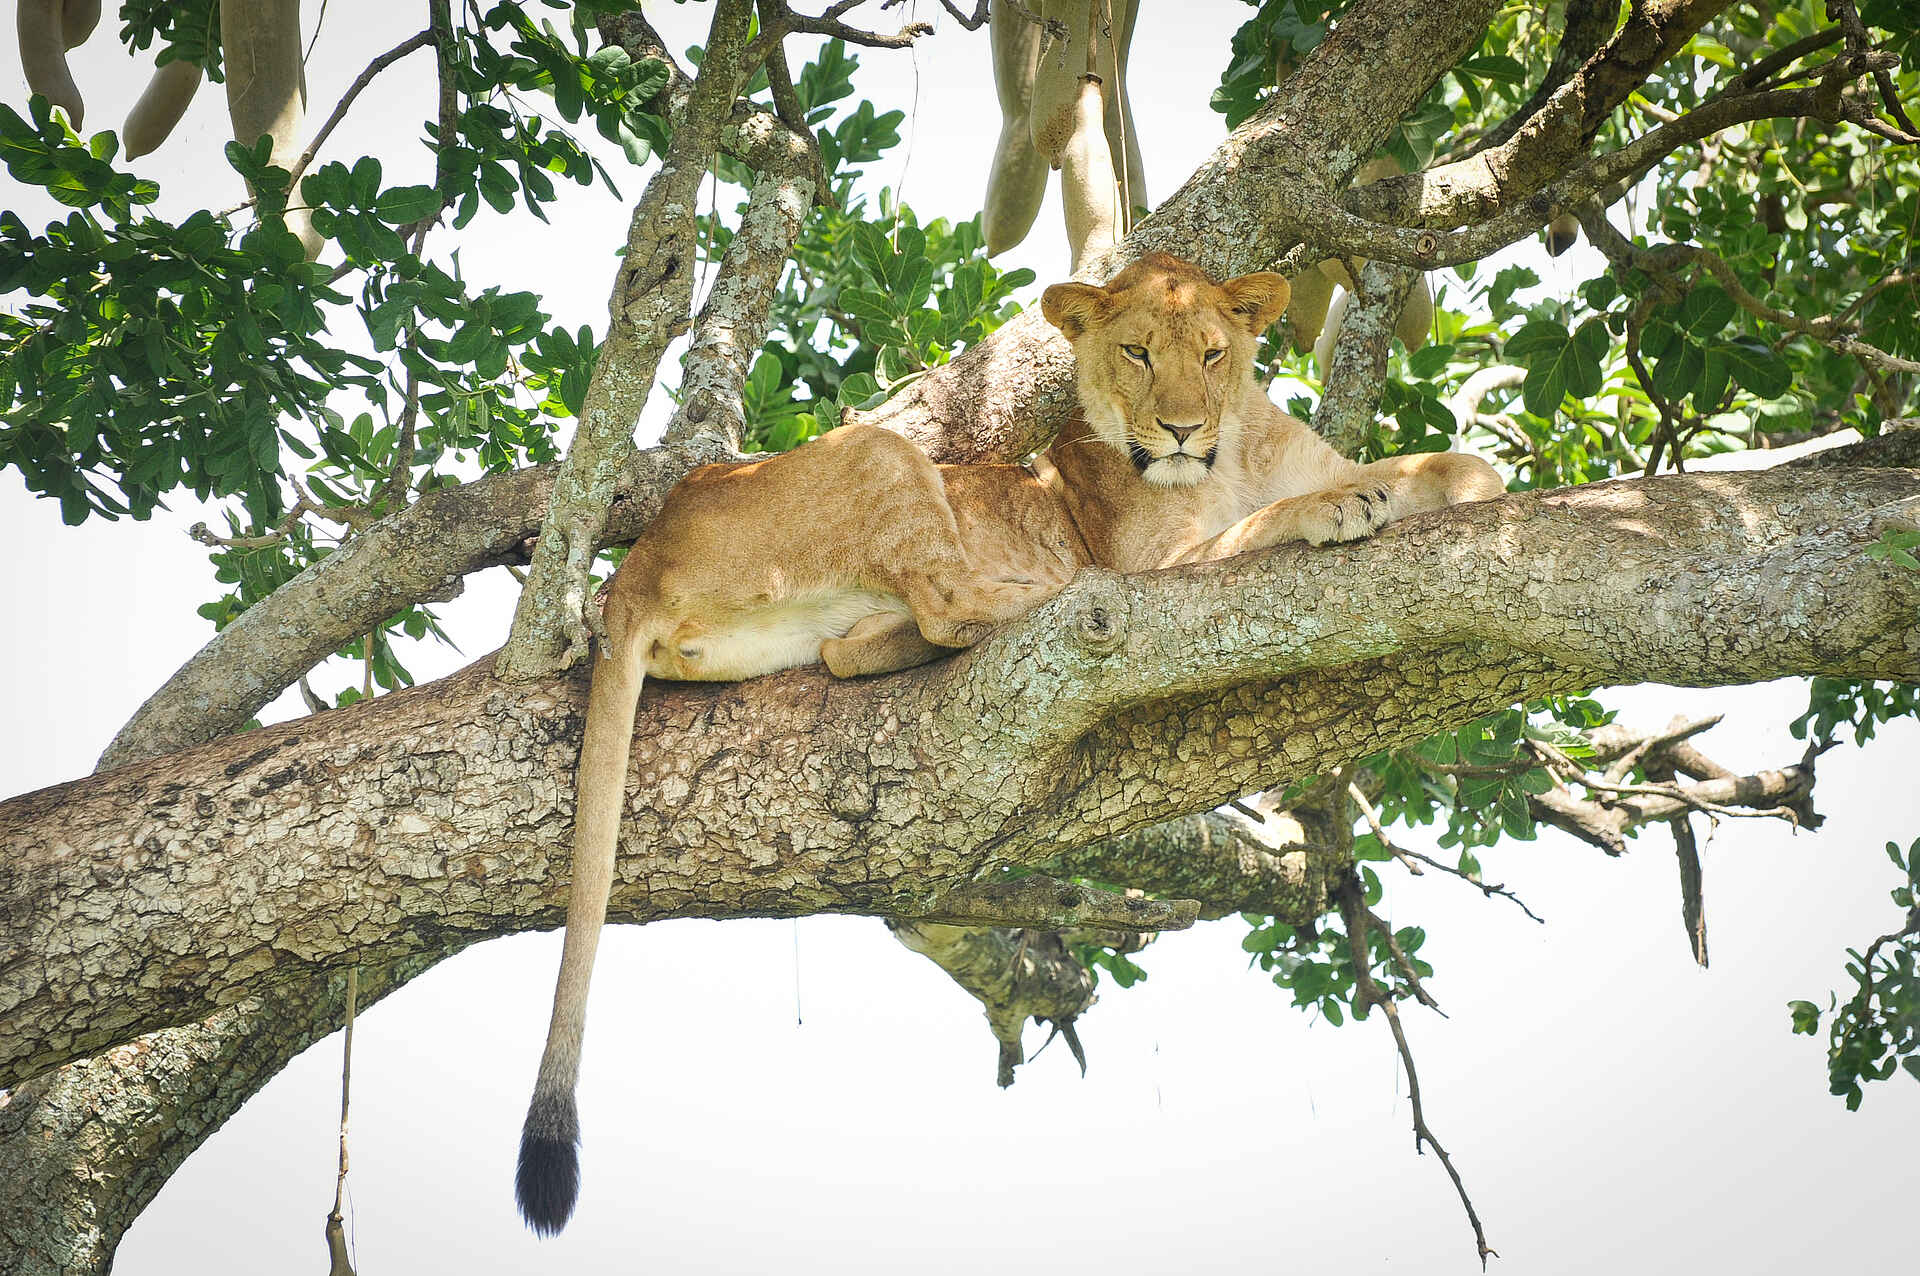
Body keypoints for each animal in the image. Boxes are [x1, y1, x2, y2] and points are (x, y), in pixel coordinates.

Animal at [516, 252, 1504, 1235]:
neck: (1234, 451)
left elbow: (1439, 463)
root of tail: (632, 568)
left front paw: (1478, 484)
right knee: (959, 603)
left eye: (1214, 353)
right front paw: (1334, 505)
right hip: (883, 456)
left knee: (855, 647)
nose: (1182, 431)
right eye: (1138, 353)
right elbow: (1264, 521)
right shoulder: (1165, 563)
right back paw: (1052, 592)